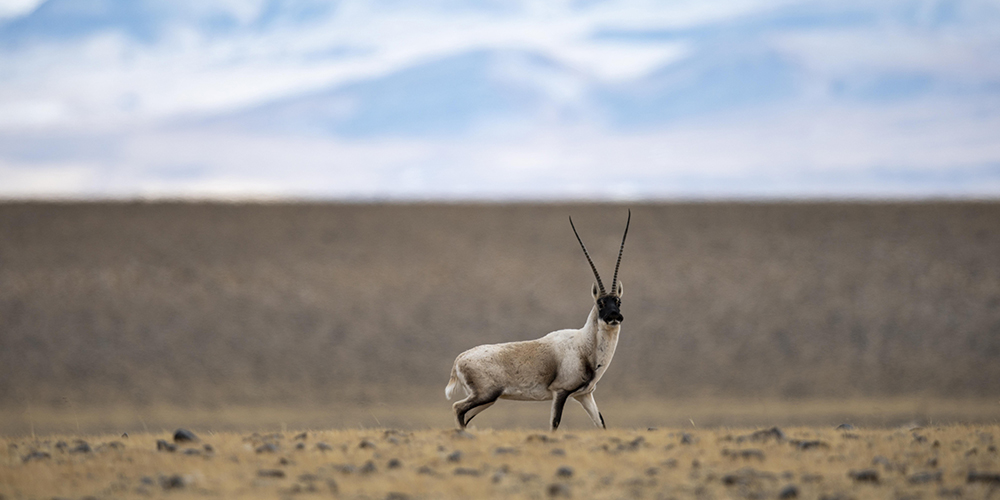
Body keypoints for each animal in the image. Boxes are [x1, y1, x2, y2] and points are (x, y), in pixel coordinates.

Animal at [448, 211, 632, 430]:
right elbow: (555, 423)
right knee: (458, 408)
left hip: (487, 399)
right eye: (600, 302)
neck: (585, 345)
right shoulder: (560, 391)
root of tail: (459, 359)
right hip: (486, 395)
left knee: (464, 414)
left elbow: (601, 423)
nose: (614, 317)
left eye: (618, 301)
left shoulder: (585, 395)